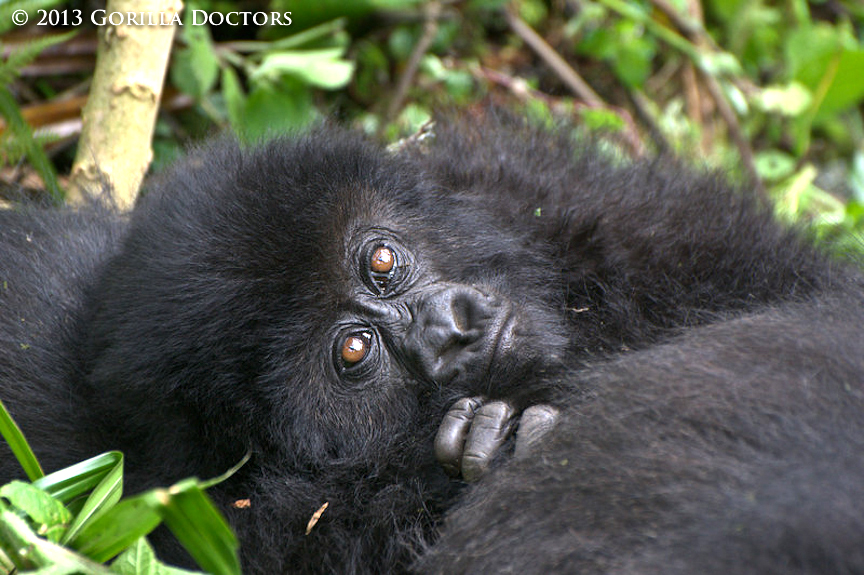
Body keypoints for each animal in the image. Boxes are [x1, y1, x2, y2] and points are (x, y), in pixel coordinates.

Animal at [1, 115, 864, 572]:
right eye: (353, 353)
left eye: (382, 260)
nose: (454, 325)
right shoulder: (226, 519)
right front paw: (501, 443)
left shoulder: (574, 201)